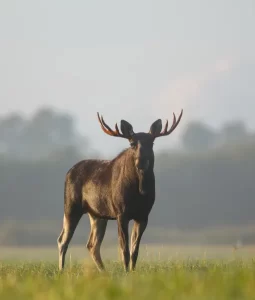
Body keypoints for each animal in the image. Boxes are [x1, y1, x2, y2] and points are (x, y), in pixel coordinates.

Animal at [56, 110, 182, 272]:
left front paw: (132, 271)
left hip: (97, 214)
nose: (141, 161)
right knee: (63, 240)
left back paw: (103, 271)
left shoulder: (143, 215)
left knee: (92, 244)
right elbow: (124, 249)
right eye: (132, 143)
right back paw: (61, 270)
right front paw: (126, 271)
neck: (139, 191)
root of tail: (68, 172)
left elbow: (135, 250)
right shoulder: (121, 212)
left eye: (152, 142)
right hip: (71, 206)